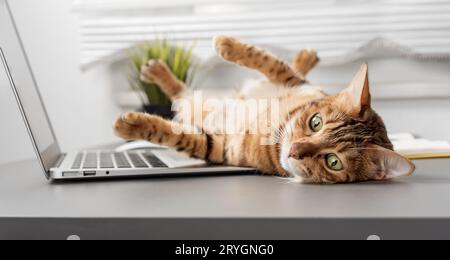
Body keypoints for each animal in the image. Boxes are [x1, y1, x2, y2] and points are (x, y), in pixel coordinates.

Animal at [114, 35, 416, 184]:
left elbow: (176, 135)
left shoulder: (219, 148)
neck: (274, 129)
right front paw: (227, 44)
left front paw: (132, 125)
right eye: (315, 123)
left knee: (181, 97)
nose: (294, 150)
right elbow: (270, 62)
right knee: (182, 93)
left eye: (333, 162)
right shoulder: (293, 82)